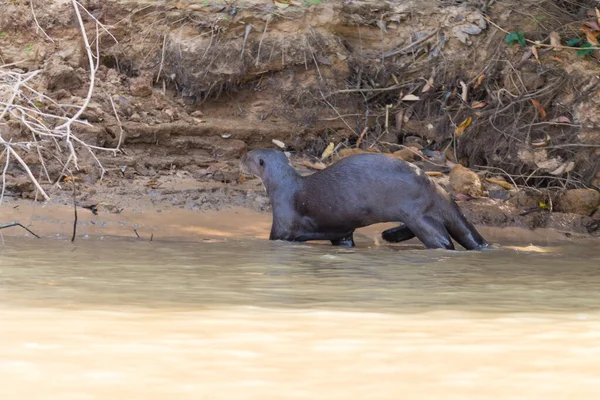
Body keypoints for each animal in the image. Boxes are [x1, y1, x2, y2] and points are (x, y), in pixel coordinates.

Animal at [239, 148, 488, 250]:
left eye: (248, 156)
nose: (240, 158)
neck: (284, 186)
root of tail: (436, 188)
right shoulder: (339, 231)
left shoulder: (283, 220)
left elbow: (276, 237)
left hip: (417, 213)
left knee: (444, 242)